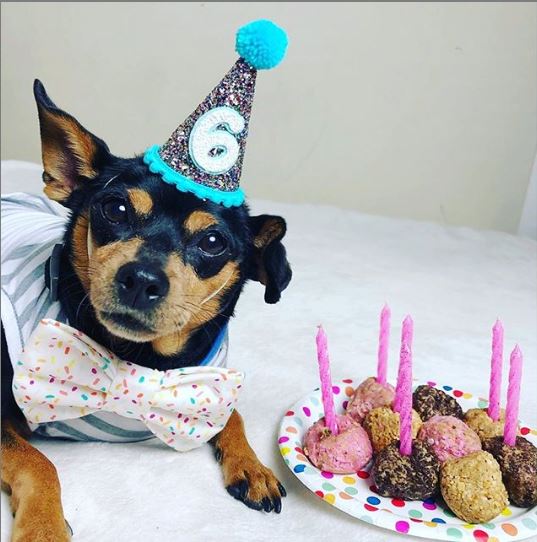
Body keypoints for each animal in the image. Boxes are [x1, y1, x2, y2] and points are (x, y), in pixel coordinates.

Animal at [2, 82, 292, 542]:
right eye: (116, 209)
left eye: (213, 242)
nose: (141, 279)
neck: (139, 358)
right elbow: (38, 461)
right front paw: (43, 528)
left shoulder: (213, 387)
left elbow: (234, 414)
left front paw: (252, 466)